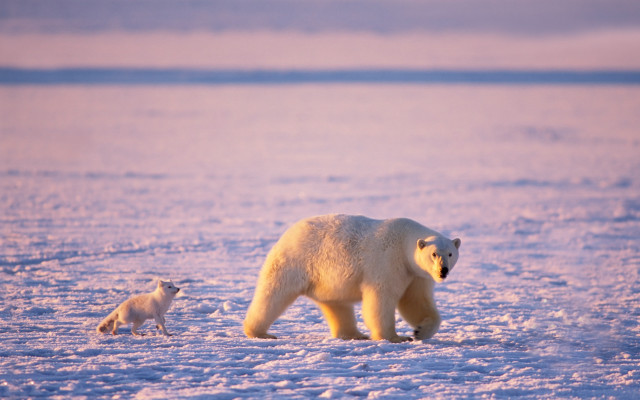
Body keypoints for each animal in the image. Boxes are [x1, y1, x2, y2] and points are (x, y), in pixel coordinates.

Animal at [243, 214, 461, 342]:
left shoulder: (416, 274)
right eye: (434, 254)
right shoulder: (387, 261)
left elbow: (415, 301)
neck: (404, 240)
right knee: (274, 294)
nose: (442, 271)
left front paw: (420, 331)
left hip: (326, 280)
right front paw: (395, 337)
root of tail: (288, 233)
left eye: (450, 253)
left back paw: (354, 334)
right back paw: (260, 332)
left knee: (337, 305)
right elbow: (381, 298)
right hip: (296, 262)